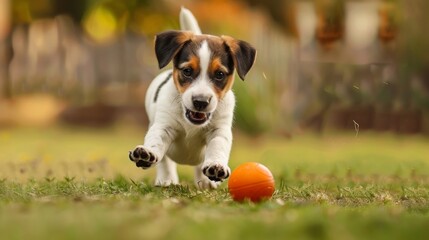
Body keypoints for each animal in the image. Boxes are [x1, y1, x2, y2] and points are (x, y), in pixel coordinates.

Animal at [126, 6, 254, 188]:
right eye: (187, 71)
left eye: (220, 74)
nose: (200, 102)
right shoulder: (164, 125)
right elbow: (156, 141)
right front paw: (148, 153)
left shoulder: (219, 131)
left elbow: (217, 148)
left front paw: (216, 166)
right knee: (166, 162)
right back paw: (166, 179)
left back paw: (206, 182)